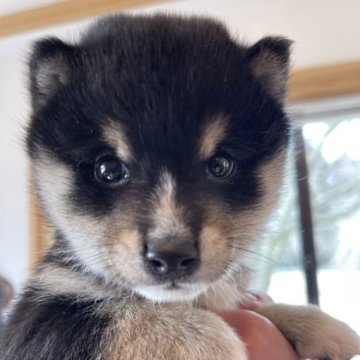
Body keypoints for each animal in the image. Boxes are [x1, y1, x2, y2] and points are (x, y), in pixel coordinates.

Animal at [0, 14, 360, 360]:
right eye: (108, 169)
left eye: (221, 165)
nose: (171, 256)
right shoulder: (33, 317)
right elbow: (105, 317)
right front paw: (203, 338)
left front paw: (316, 322)